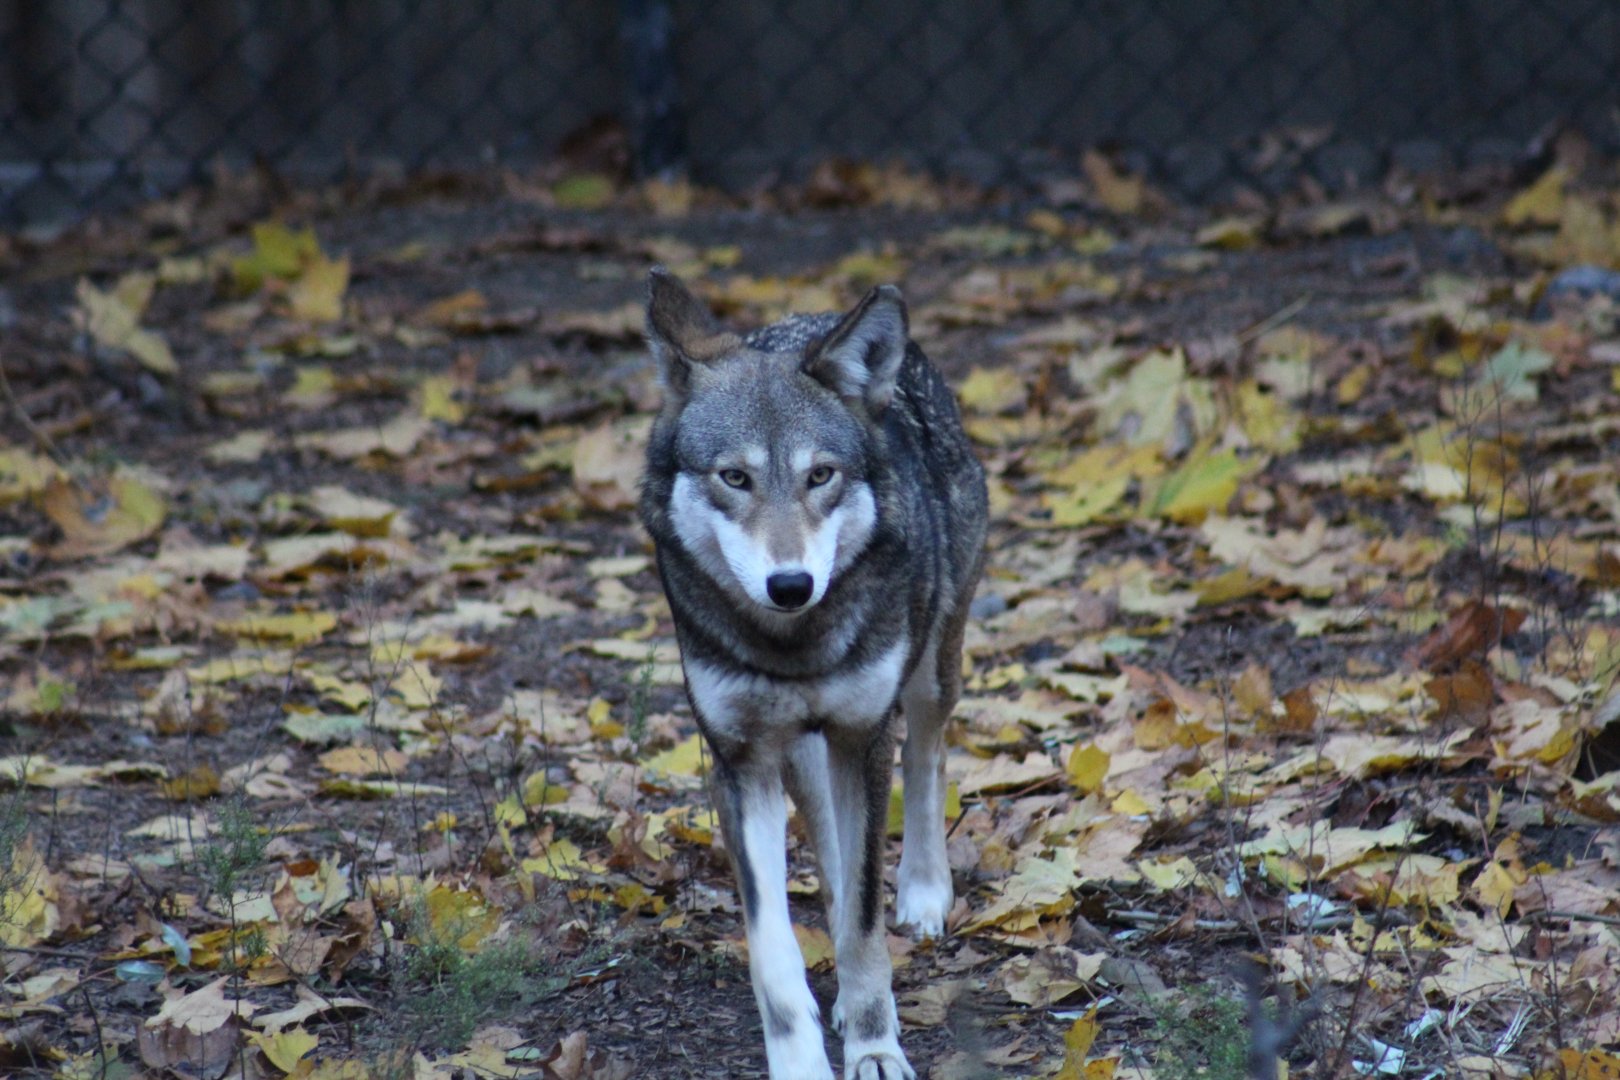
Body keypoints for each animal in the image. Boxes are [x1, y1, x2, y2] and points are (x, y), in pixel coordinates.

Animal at [639, 268, 988, 1080]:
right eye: (735, 478)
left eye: (821, 476)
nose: (791, 584)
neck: (791, 644)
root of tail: (815, 312)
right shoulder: (741, 765)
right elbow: (774, 950)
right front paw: (804, 1059)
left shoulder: (864, 734)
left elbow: (862, 918)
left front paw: (874, 1046)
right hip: (803, 752)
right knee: (831, 845)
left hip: (929, 674)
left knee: (927, 760)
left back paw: (924, 893)